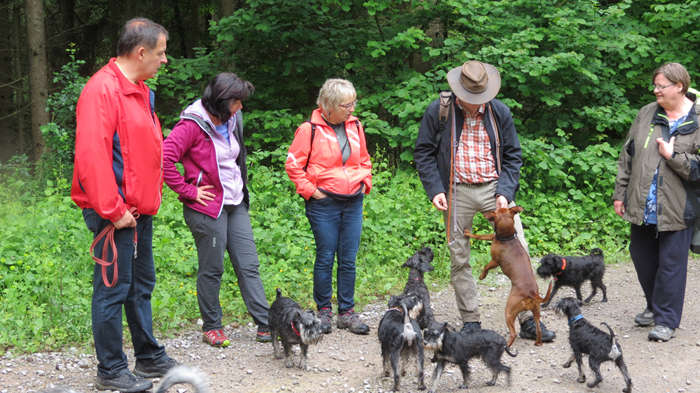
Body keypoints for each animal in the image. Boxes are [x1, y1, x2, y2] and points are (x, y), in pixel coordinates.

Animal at [464, 205, 552, 346]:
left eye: (495, 211)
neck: (508, 238)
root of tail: (532, 293)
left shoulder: (495, 261)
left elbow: (486, 266)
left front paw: (482, 276)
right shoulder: (493, 237)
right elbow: (480, 235)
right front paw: (469, 234)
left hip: (509, 312)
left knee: (513, 333)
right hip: (536, 312)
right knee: (538, 328)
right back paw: (538, 342)